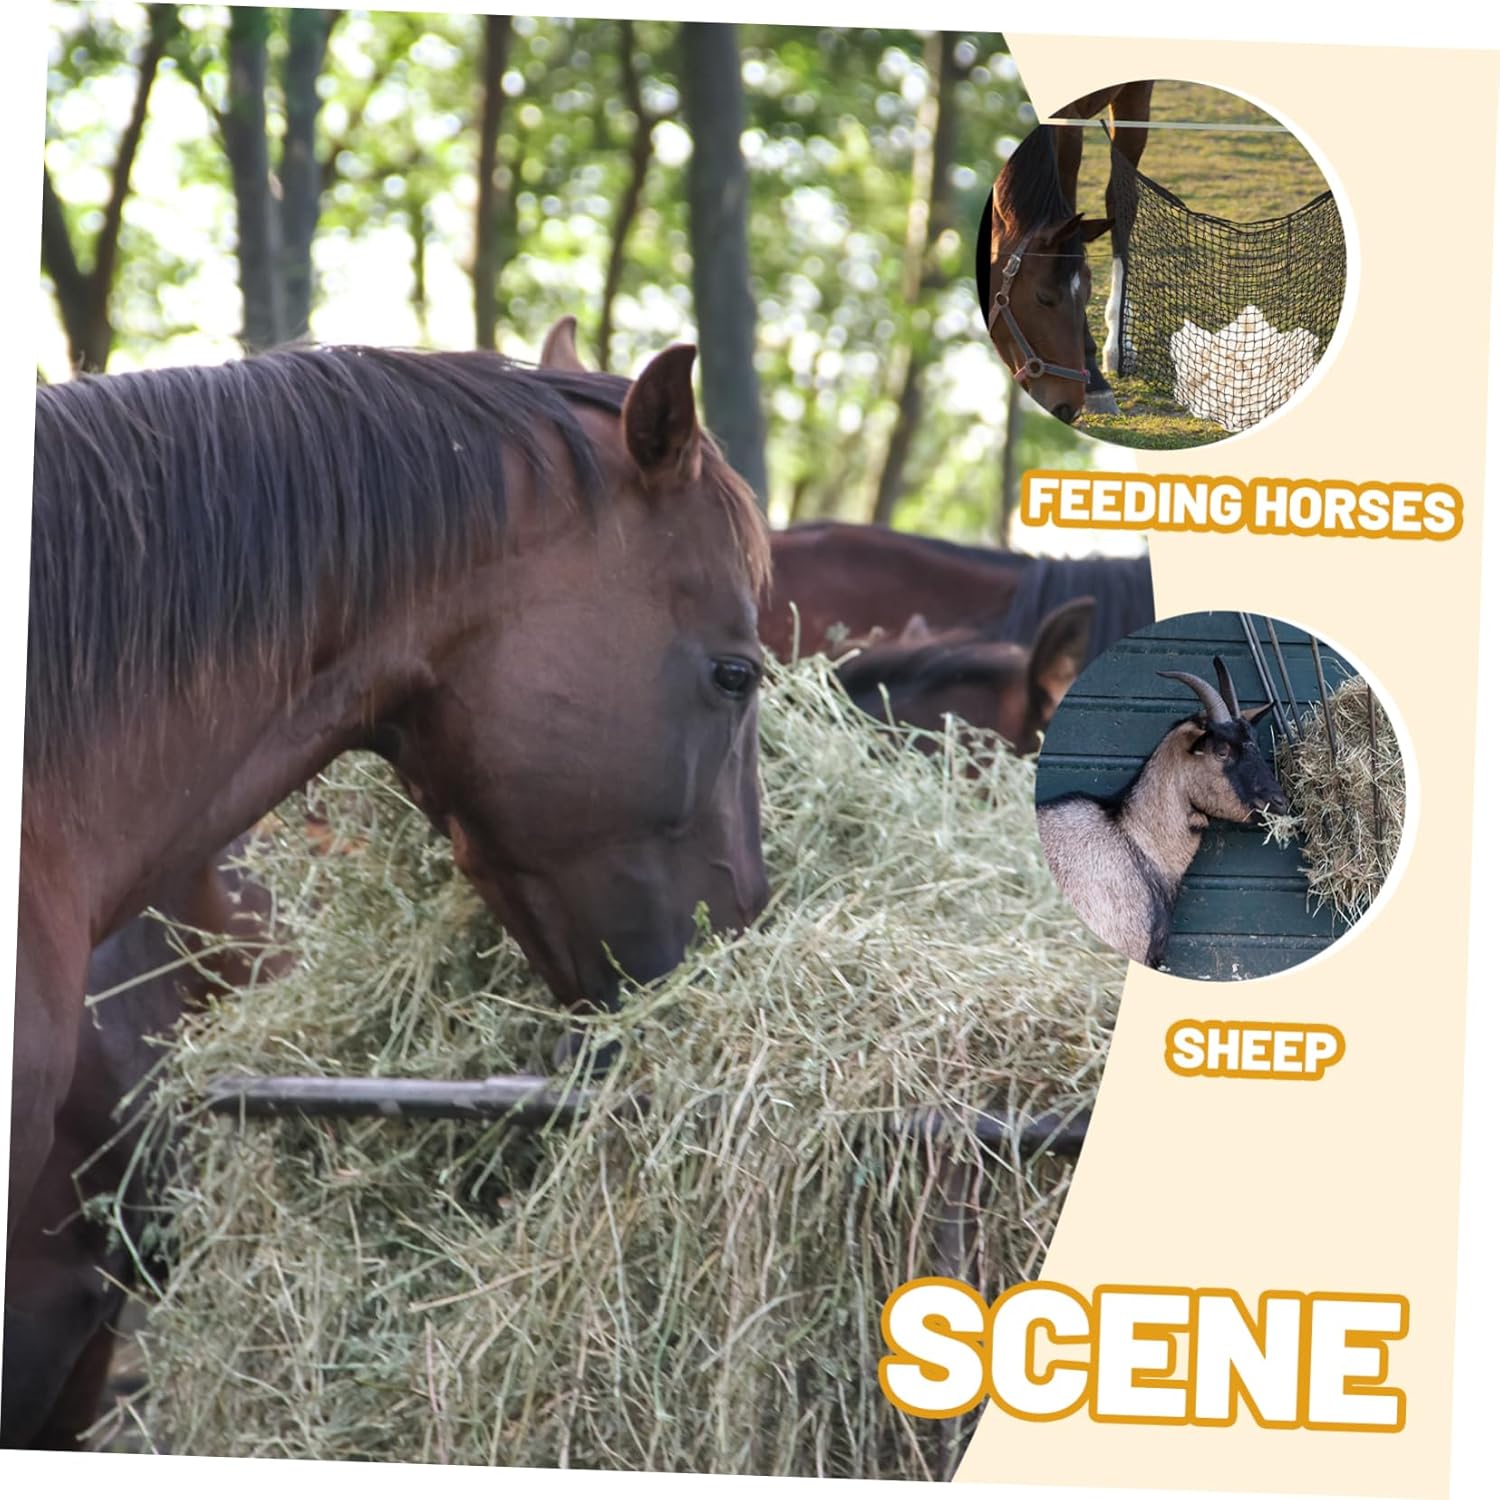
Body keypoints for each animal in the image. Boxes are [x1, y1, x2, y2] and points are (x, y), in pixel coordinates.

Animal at [978, 82, 1153, 418]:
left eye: (1086, 293)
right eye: (1043, 298)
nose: (1065, 407)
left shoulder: (1067, 127)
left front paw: (1095, 381)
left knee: (1121, 200)